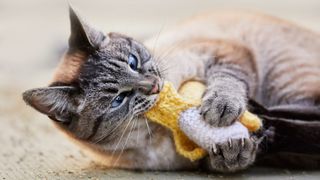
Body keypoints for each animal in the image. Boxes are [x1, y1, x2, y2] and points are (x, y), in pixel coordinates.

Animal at [22, 7, 320, 172]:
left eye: (133, 62)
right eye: (118, 100)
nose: (153, 86)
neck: (157, 133)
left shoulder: (225, 53)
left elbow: (227, 82)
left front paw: (220, 108)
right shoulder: (200, 161)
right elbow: (226, 161)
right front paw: (234, 151)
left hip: (286, 77)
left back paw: (263, 116)